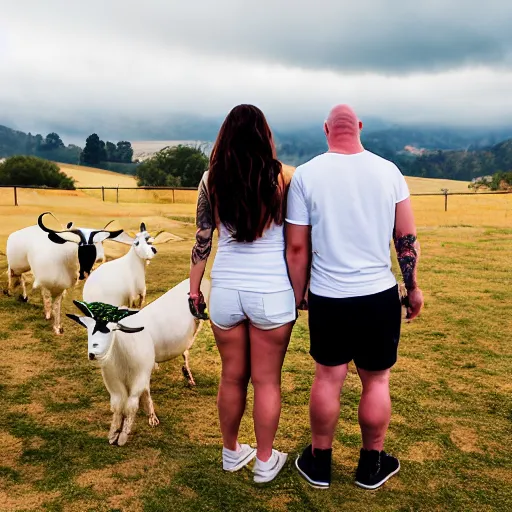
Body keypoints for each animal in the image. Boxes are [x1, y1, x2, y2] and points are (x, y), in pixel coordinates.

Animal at [67, 278, 210, 446]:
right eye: (88, 331)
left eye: (111, 330)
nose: (93, 354)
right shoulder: (114, 381)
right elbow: (118, 405)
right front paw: (115, 433)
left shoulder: (141, 375)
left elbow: (138, 400)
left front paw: (148, 420)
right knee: (186, 351)